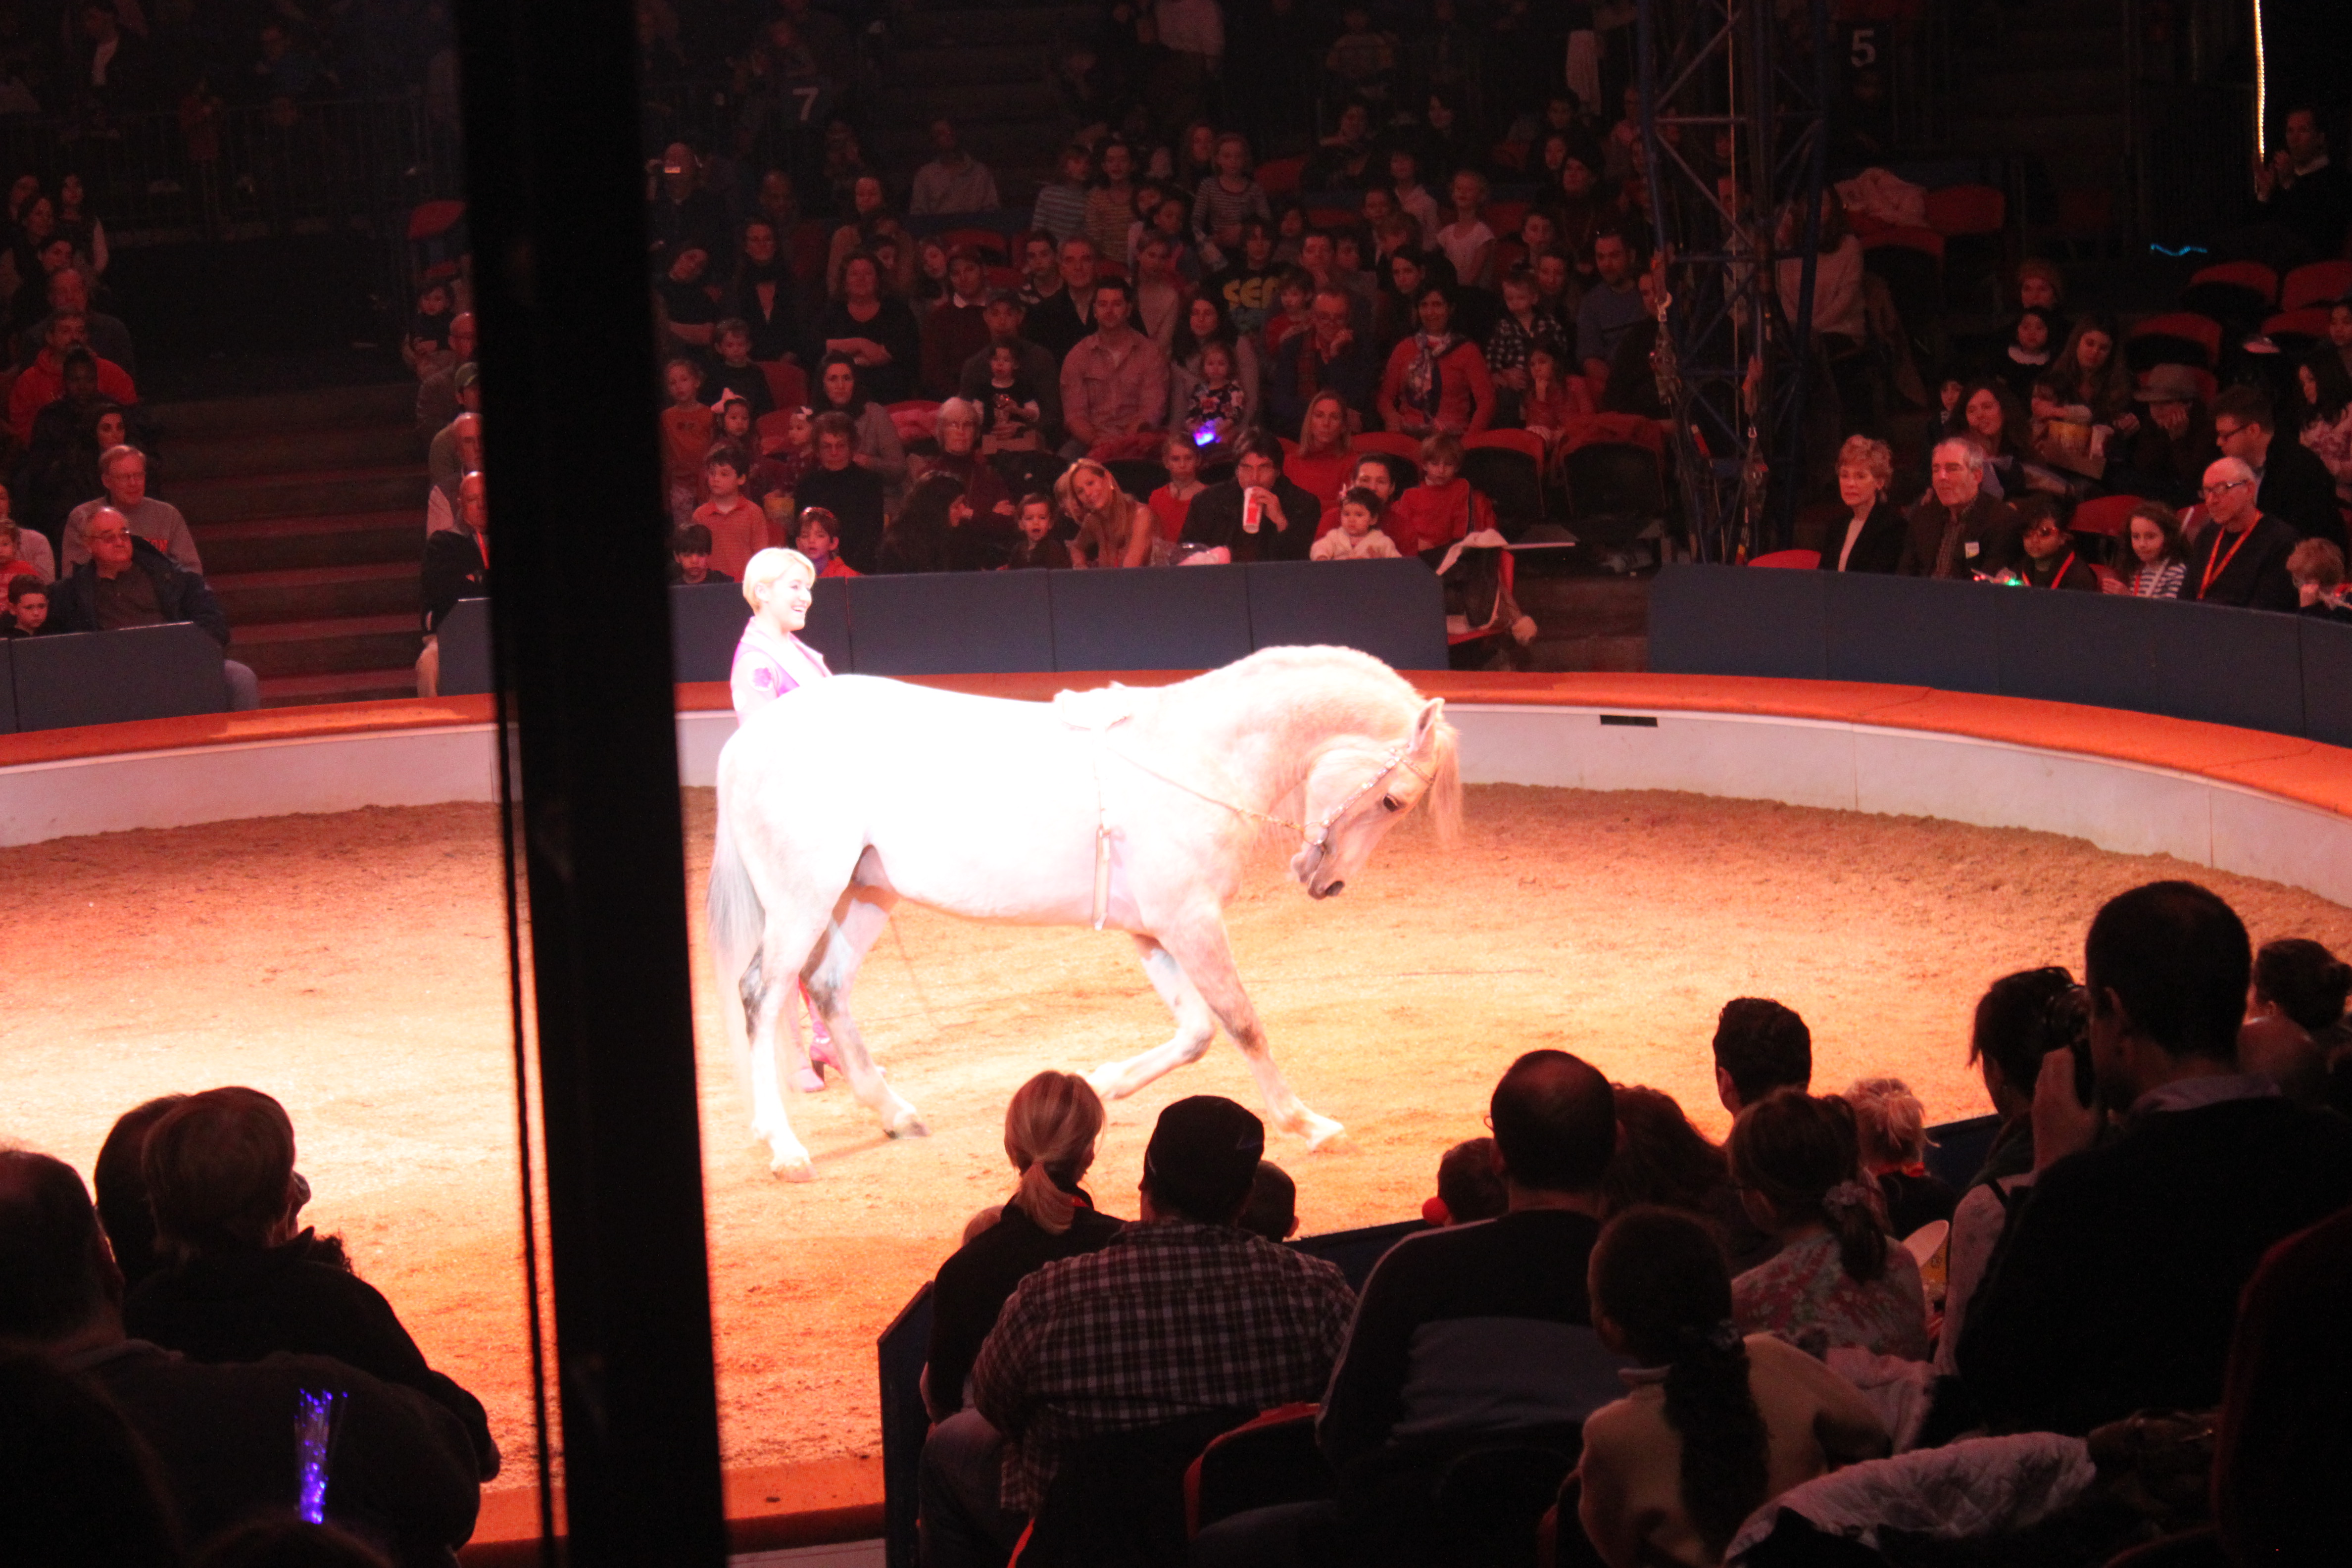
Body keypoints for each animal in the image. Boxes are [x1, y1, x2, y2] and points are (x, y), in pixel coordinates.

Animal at [705, 645, 1462, 1179]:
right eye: (1393, 800)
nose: (1325, 881)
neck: (1197, 755)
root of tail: (747, 742)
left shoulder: (1155, 931)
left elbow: (1197, 1033)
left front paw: (1105, 1082)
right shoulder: (1190, 922)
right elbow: (1242, 1024)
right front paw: (1309, 1124)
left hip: (865, 894)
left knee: (828, 987)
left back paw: (896, 1115)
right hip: (803, 900)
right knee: (762, 997)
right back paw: (784, 1147)